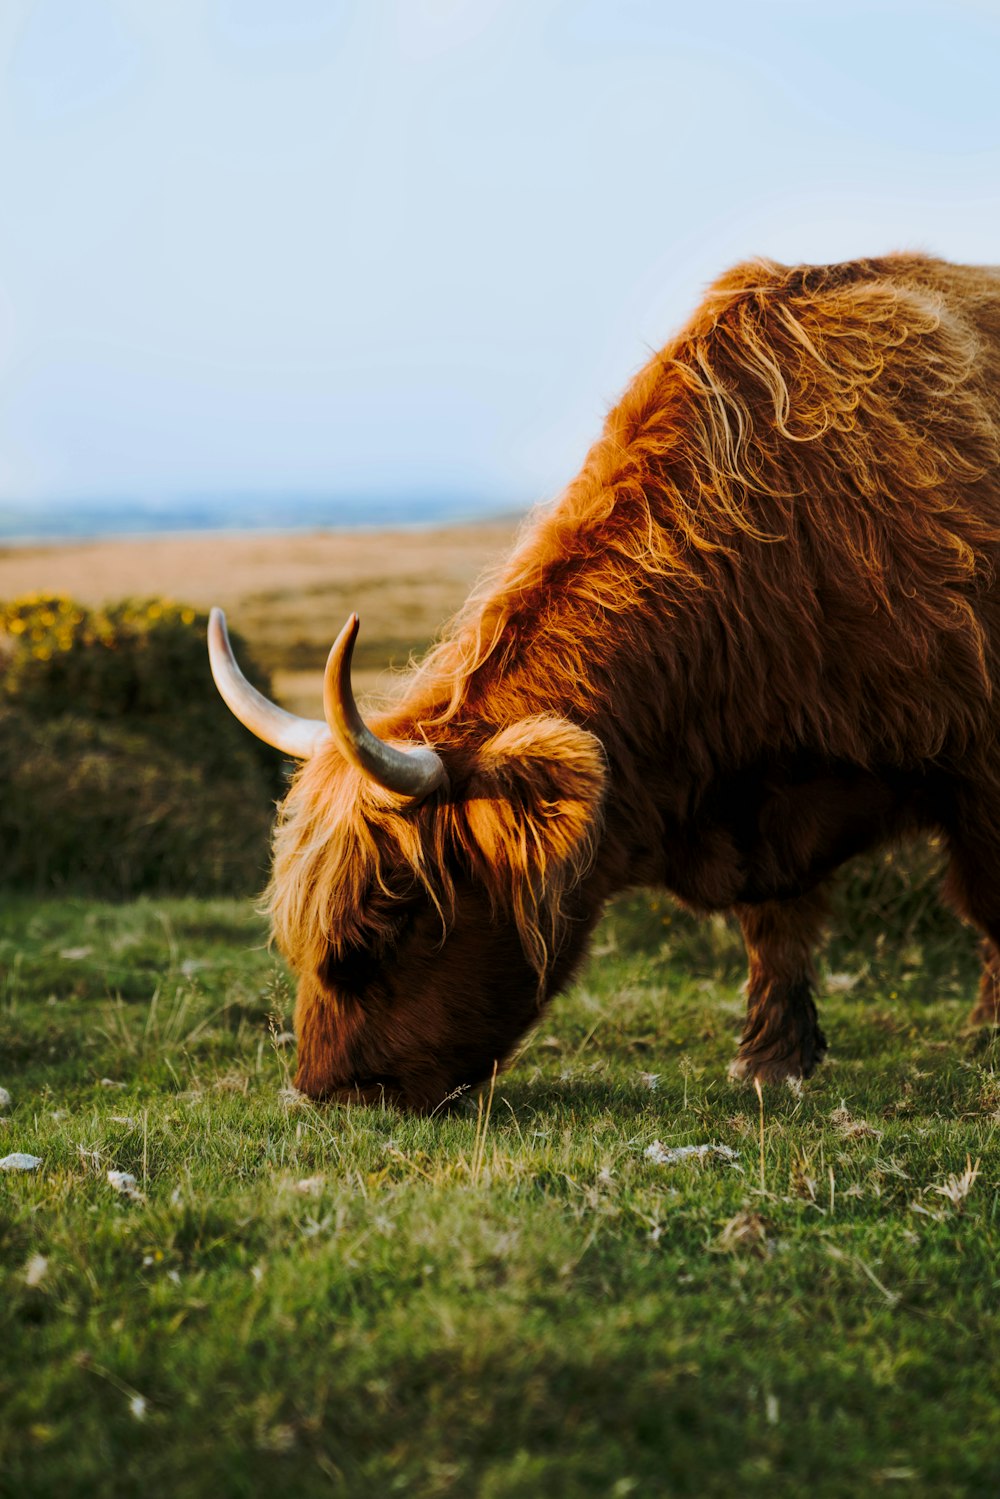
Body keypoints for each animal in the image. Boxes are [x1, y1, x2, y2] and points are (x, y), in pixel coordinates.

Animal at [206, 248, 1000, 1115]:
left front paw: (987, 1036)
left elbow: (986, 898)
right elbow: (775, 926)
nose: (324, 1094)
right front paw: (772, 1059)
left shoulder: (978, 759)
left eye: (385, 922)